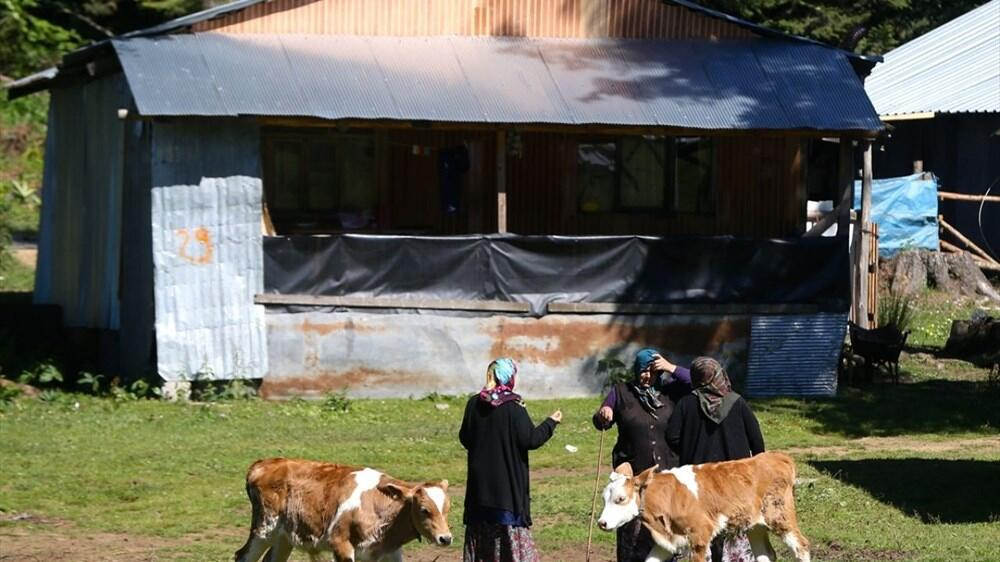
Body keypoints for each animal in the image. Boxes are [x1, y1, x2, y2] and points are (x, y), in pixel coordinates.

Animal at [234, 458, 454, 556]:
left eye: (447, 509)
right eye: (424, 510)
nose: (445, 538)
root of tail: (263, 464)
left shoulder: (389, 552)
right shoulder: (340, 544)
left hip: (283, 537)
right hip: (264, 530)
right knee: (243, 556)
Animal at [596, 450, 808, 560]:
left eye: (620, 499)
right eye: (604, 498)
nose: (601, 523)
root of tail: (776, 456)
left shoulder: (700, 535)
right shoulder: (669, 541)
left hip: (780, 517)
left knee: (802, 546)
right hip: (754, 525)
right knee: (765, 554)